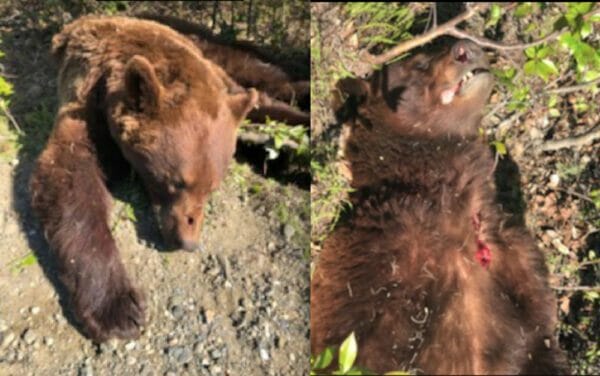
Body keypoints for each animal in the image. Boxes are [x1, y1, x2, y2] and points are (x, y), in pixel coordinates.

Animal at [28, 16, 258, 342]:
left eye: (211, 188)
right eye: (175, 182)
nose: (188, 242)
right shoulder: (85, 102)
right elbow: (68, 179)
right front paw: (119, 310)